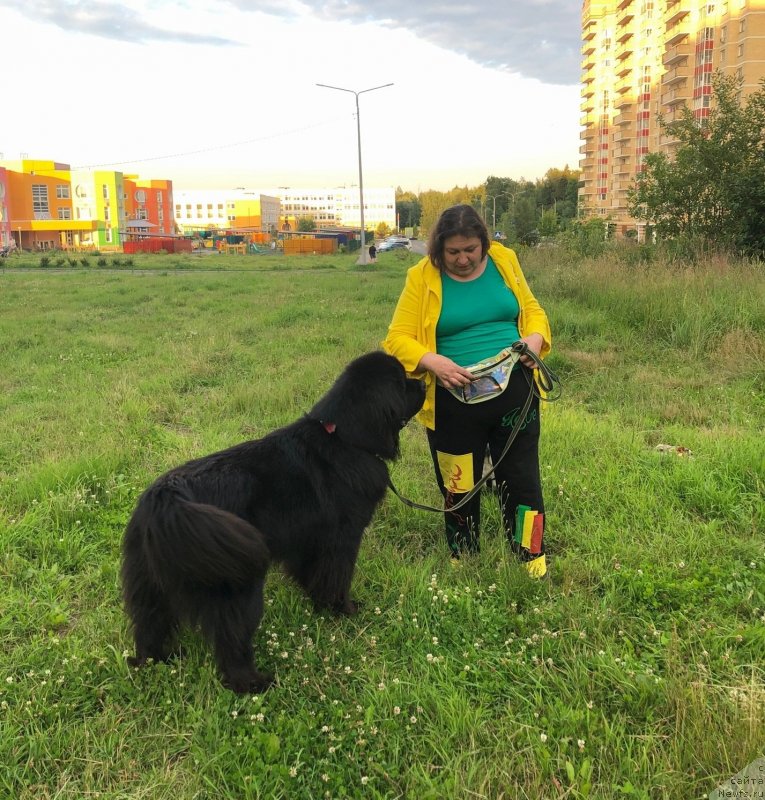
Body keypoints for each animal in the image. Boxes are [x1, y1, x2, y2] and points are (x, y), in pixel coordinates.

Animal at [122, 352, 426, 692]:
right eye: (401, 381)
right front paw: (344, 610)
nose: (424, 383)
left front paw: (320, 604)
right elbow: (337, 578)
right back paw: (254, 683)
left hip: (150, 584)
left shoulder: (308, 544)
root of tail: (166, 498)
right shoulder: (341, 540)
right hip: (238, 589)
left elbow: (314, 576)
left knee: (149, 628)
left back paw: (159, 660)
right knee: (231, 642)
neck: (344, 437)